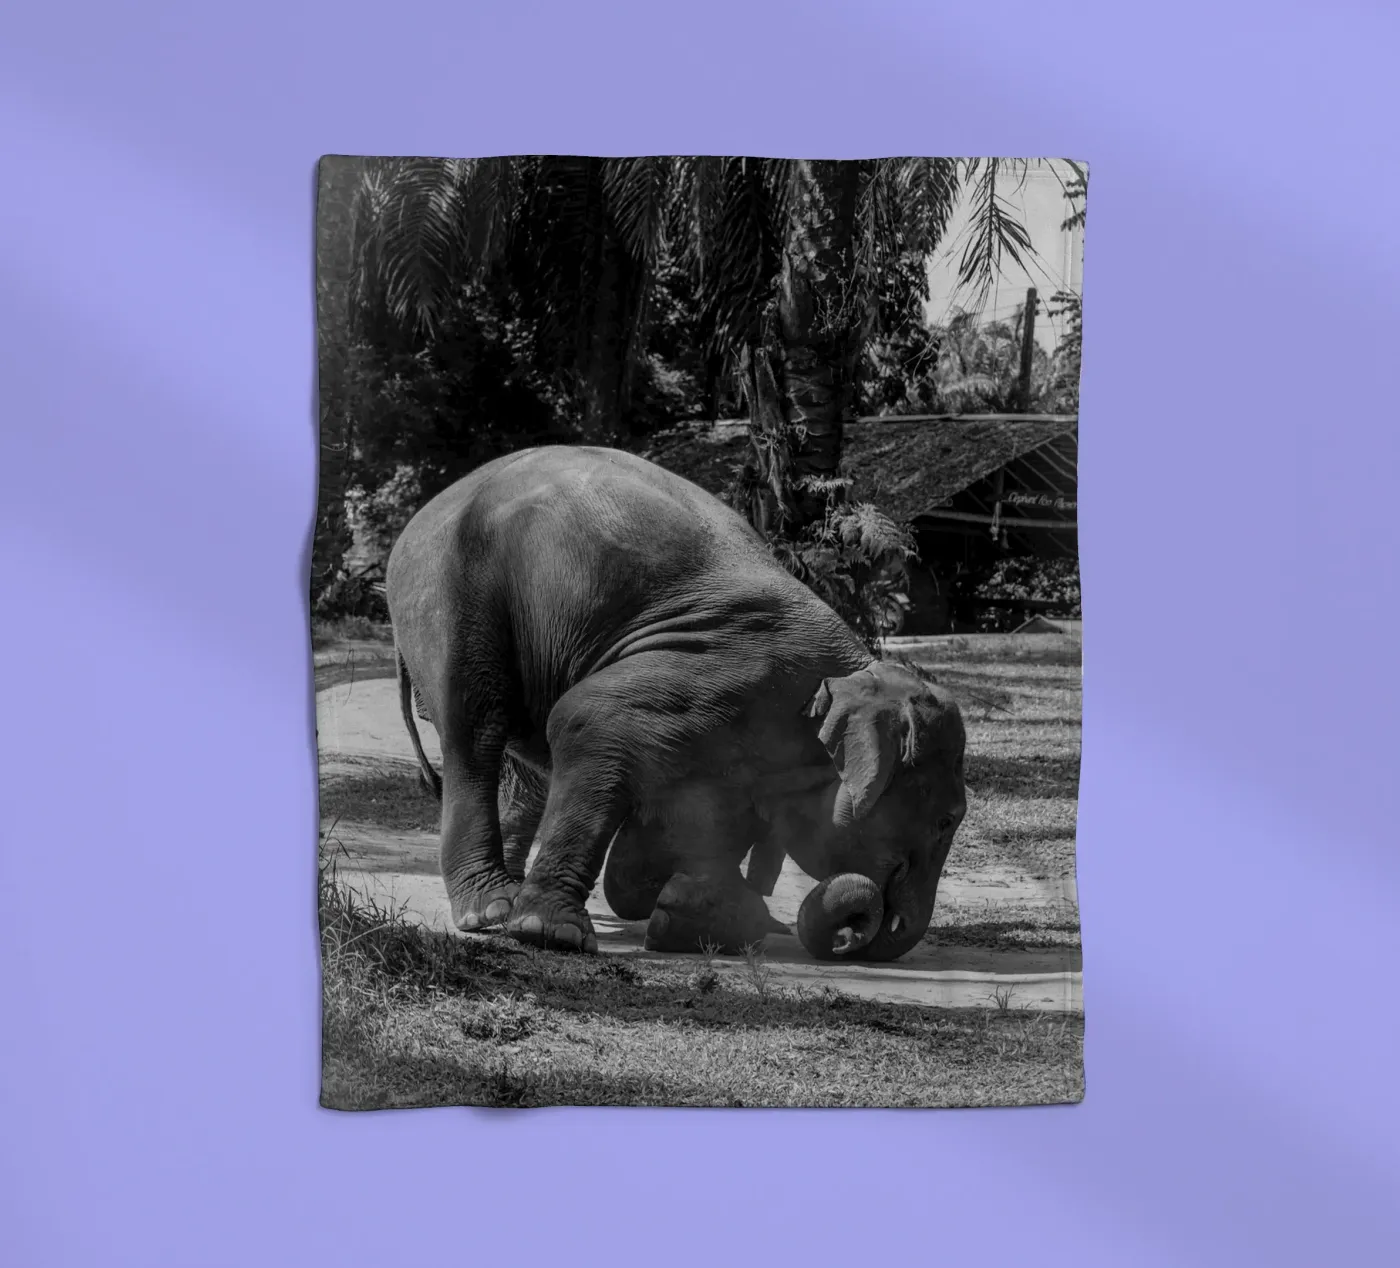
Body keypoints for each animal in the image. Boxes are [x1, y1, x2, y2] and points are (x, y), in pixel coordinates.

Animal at [387, 445, 967, 962]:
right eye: (946, 821)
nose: (857, 936)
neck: (851, 671)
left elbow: (689, 820)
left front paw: (691, 912)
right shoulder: (724, 672)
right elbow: (584, 719)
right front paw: (554, 934)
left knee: (525, 775)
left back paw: (504, 903)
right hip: (451, 598)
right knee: (475, 732)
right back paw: (490, 910)